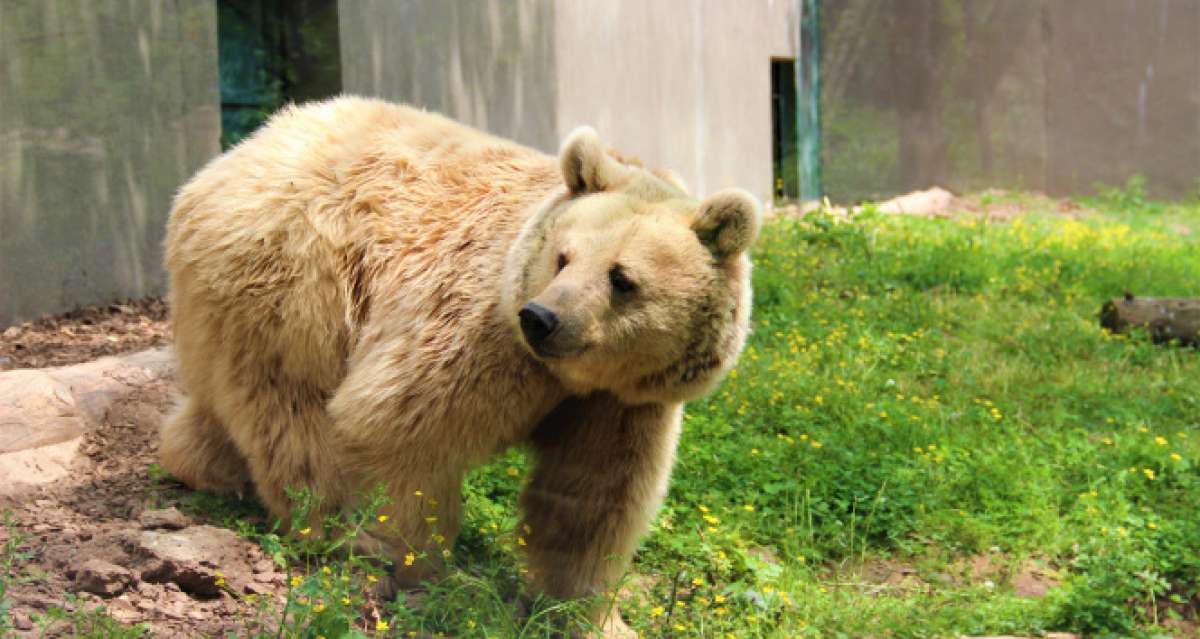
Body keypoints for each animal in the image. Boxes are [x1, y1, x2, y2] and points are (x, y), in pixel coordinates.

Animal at [159, 94, 758, 634]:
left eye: (622, 278)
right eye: (563, 257)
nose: (542, 318)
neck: (567, 376)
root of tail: (226, 160)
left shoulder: (622, 403)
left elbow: (592, 496)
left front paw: (585, 613)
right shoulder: (475, 331)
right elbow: (398, 427)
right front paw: (425, 572)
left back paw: (201, 464)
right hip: (296, 282)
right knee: (294, 417)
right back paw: (332, 529)